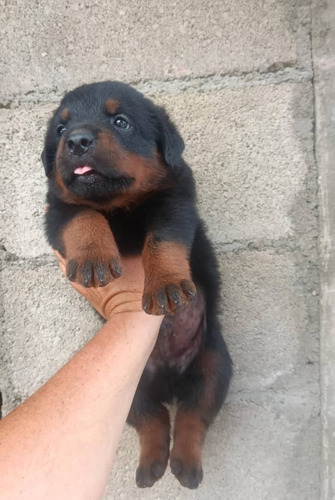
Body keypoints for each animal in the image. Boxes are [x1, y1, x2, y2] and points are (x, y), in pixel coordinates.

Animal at [42, 81, 232, 488]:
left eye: (121, 122)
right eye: (61, 130)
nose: (77, 141)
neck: (118, 205)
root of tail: (170, 381)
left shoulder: (174, 200)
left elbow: (164, 240)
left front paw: (166, 285)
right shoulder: (58, 210)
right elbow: (84, 217)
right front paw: (94, 259)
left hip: (214, 364)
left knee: (194, 415)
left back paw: (186, 466)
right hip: (129, 387)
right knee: (152, 418)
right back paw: (151, 466)